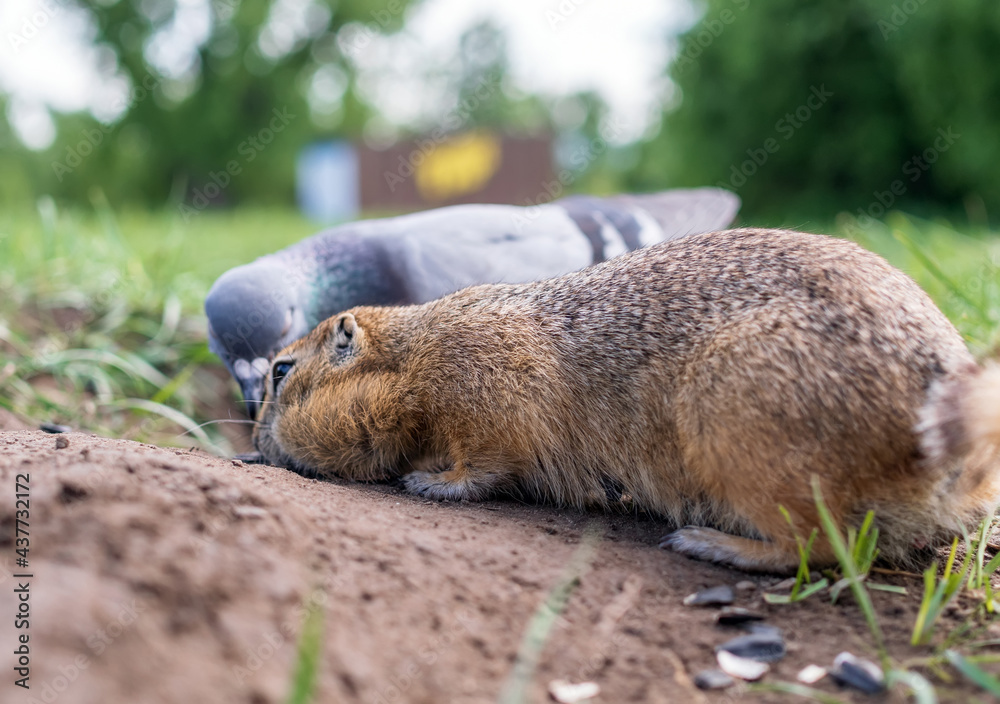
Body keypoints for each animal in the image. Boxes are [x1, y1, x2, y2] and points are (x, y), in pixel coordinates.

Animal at [252, 230, 1000, 572]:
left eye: (281, 372)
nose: (255, 447)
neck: (412, 357)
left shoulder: (485, 390)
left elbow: (484, 461)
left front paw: (433, 483)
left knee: (821, 545)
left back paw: (711, 542)